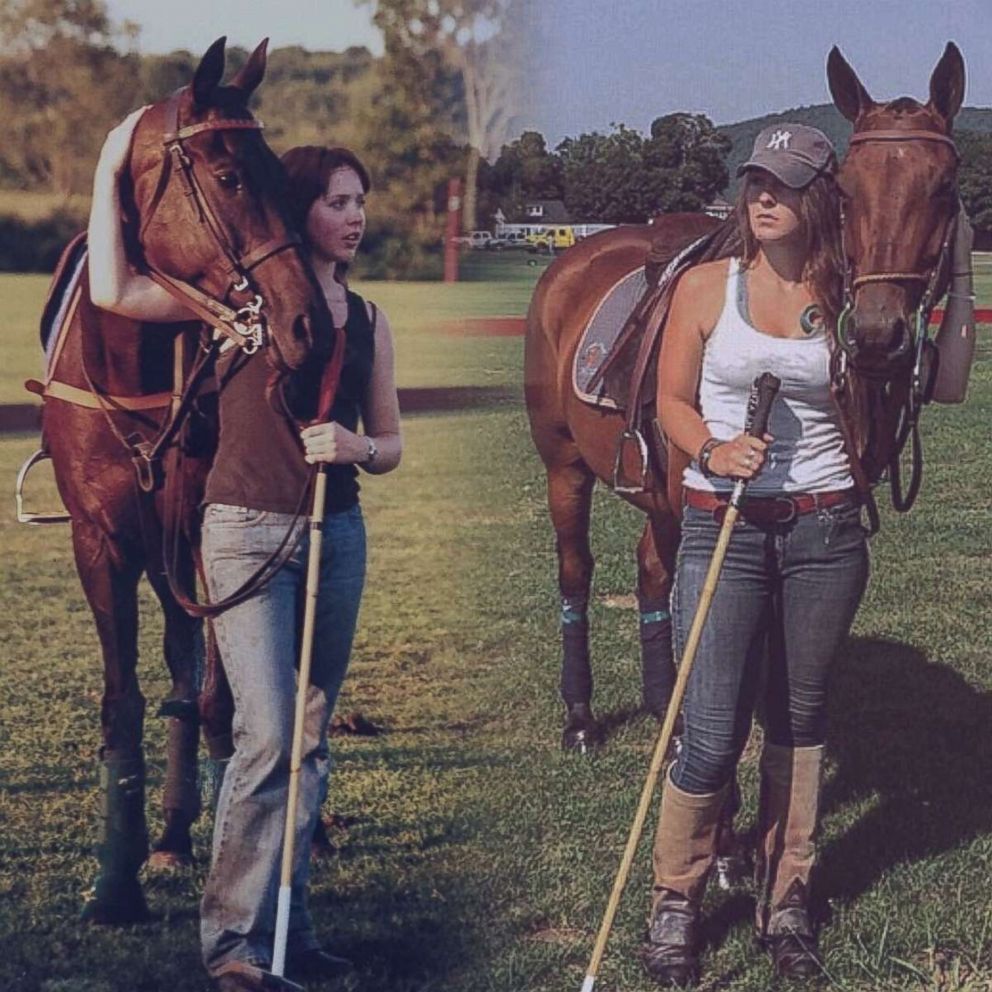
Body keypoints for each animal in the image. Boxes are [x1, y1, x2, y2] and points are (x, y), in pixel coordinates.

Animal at [19, 36, 336, 924]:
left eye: (283, 179)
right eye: (230, 177)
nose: (309, 327)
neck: (132, 358)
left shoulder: (204, 526)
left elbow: (224, 693)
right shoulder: (100, 539)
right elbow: (125, 696)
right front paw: (115, 880)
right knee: (179, 659)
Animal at [524, 42, 964, 748]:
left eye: (946, 186)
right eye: (844, 188)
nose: (875, 335)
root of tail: (571, 260)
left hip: (659, 492)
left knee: (651, 568)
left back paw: (663, 707)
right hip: (563, 462)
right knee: (577, 569)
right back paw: (582, 717)